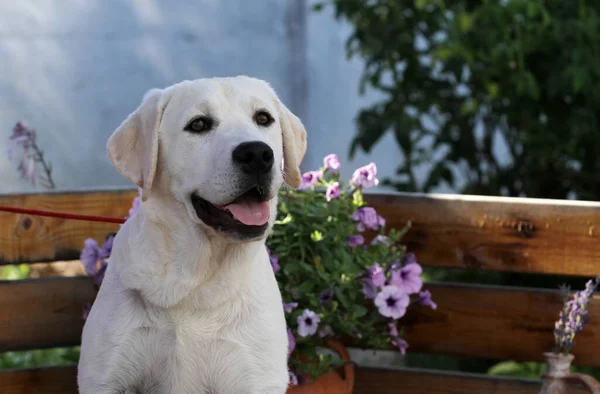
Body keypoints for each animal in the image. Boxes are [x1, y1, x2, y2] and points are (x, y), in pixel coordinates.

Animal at [77, 77, 308, 394]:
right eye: (198, 124)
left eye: (263, 118)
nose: (257, 154)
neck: (194, 279)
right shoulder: (104, 376)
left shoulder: (257, 378)